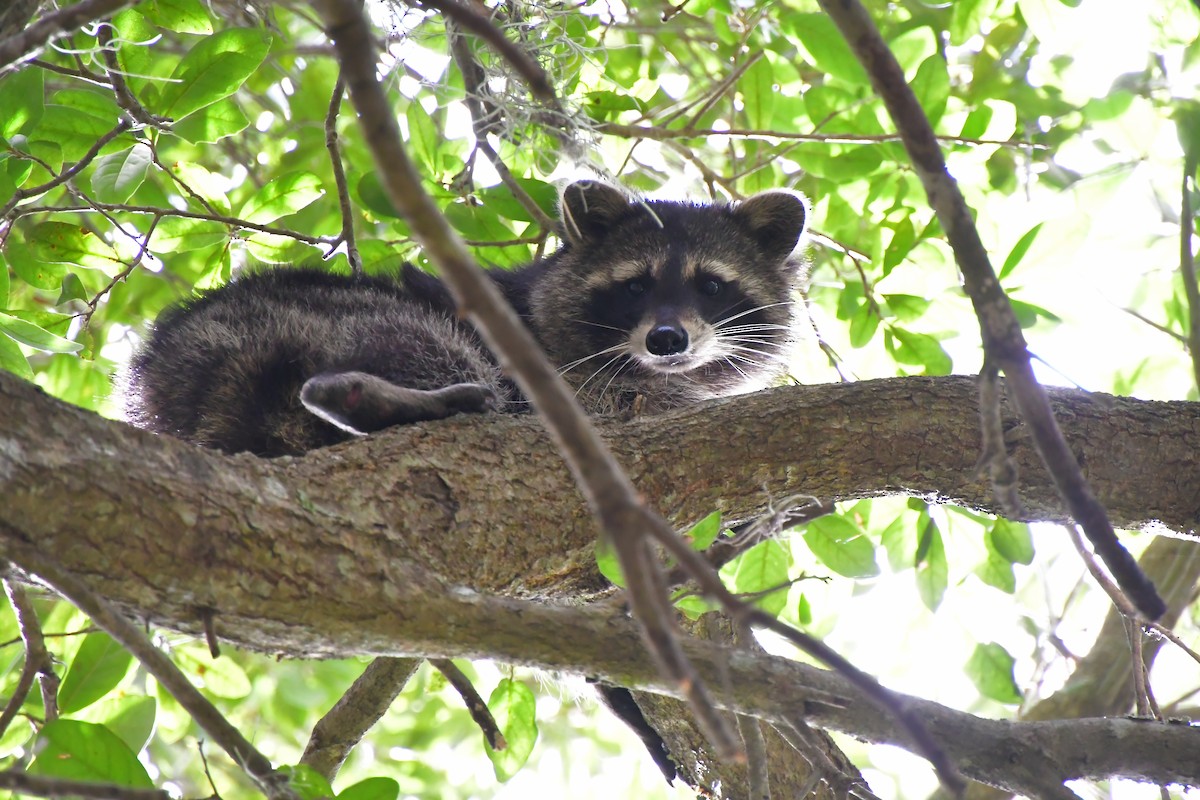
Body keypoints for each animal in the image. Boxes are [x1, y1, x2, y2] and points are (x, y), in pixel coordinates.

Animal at [123, 180, 807, 457]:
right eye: (635, 285)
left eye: (711, 285)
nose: (668, 339)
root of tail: (162, 368)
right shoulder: (569, 374)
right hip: (318, 315)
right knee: (429, 343)